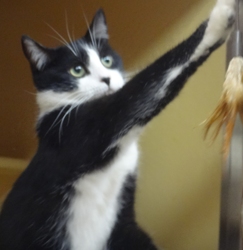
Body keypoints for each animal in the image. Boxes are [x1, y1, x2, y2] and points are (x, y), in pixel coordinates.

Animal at [0, 0, 235, 250]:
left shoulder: (123, 215)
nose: (107, 79)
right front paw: (219, 18)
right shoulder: (78, 130)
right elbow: (141, 89)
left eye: (107, 61)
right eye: (77, 70)